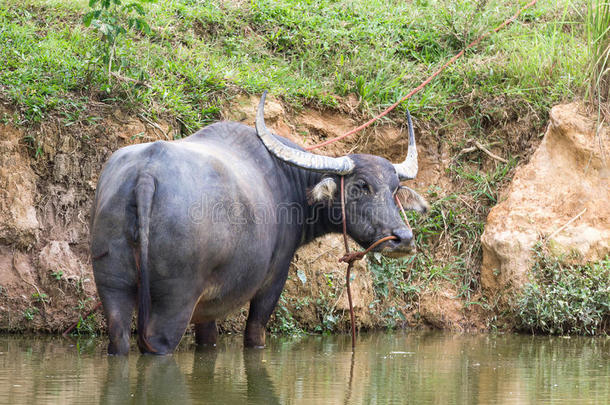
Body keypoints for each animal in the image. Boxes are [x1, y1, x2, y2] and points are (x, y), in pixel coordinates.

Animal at [90, 92, 426, 354]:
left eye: (395, 188)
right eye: (361, 186)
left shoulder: (207, 307)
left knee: (119, 338)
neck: (288, 181)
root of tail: (146, 173)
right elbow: (255, 333)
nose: (403, 239)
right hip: (174, 301)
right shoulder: (272, 280)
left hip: (112, 287)